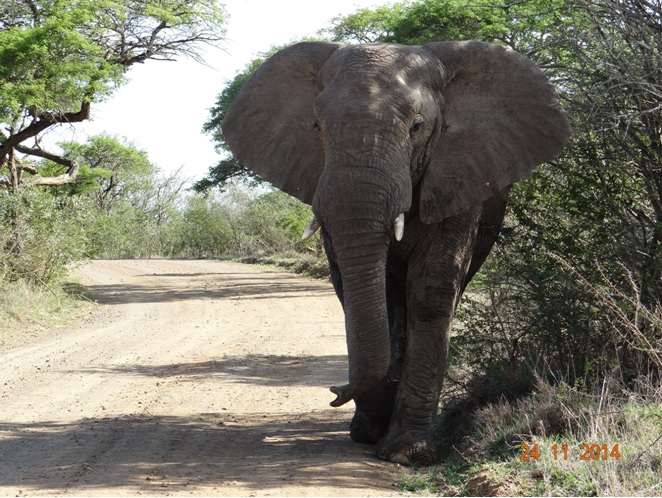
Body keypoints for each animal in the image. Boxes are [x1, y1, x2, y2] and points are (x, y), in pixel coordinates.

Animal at [222, 40, 572, 464]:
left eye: (417, 127)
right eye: (317, 127)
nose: (335, 392)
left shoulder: (457, 178)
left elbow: (432, 289)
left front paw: (406, 454)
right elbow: (366, 289)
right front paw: (370, 431)